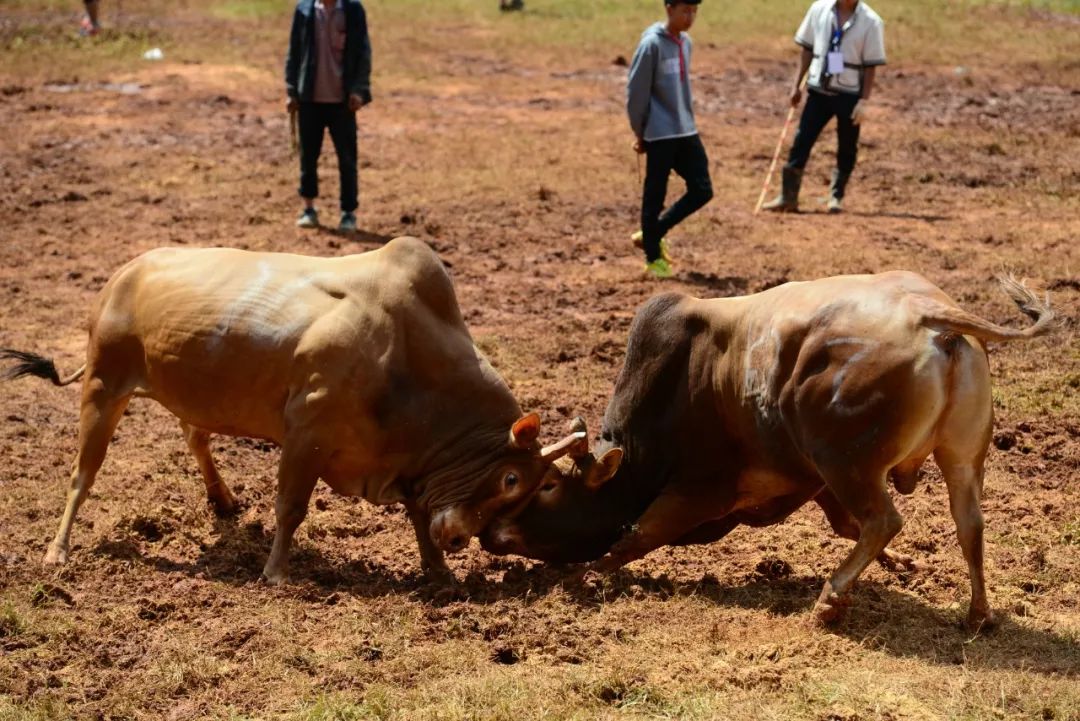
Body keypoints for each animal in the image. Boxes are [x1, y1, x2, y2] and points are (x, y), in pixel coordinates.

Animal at [4, 237, 587, 587]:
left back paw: (223, 501)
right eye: (512, 479)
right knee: (82, 474)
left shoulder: (407, 466)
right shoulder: (306, 431)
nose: (464, 538)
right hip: (104, 387)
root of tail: (124, 273)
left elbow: (420, 515)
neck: (407, 355)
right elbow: (291, 508)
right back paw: (57, 550)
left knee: (195, 435)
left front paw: (439, 572)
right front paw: (276, 573)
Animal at [483, 273, 1054, 626]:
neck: (680, 381)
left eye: (548, 485)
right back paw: (978, 614)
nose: (489, 533)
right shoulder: (812, 480)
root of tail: (930, 315)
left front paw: (584, 575)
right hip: (959, 458)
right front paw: (906, 566)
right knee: (968, 525)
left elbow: (636, 536)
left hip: (846, 462)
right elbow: (843, 525)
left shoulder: (702, 490)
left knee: (884, 519)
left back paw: (829, 599)